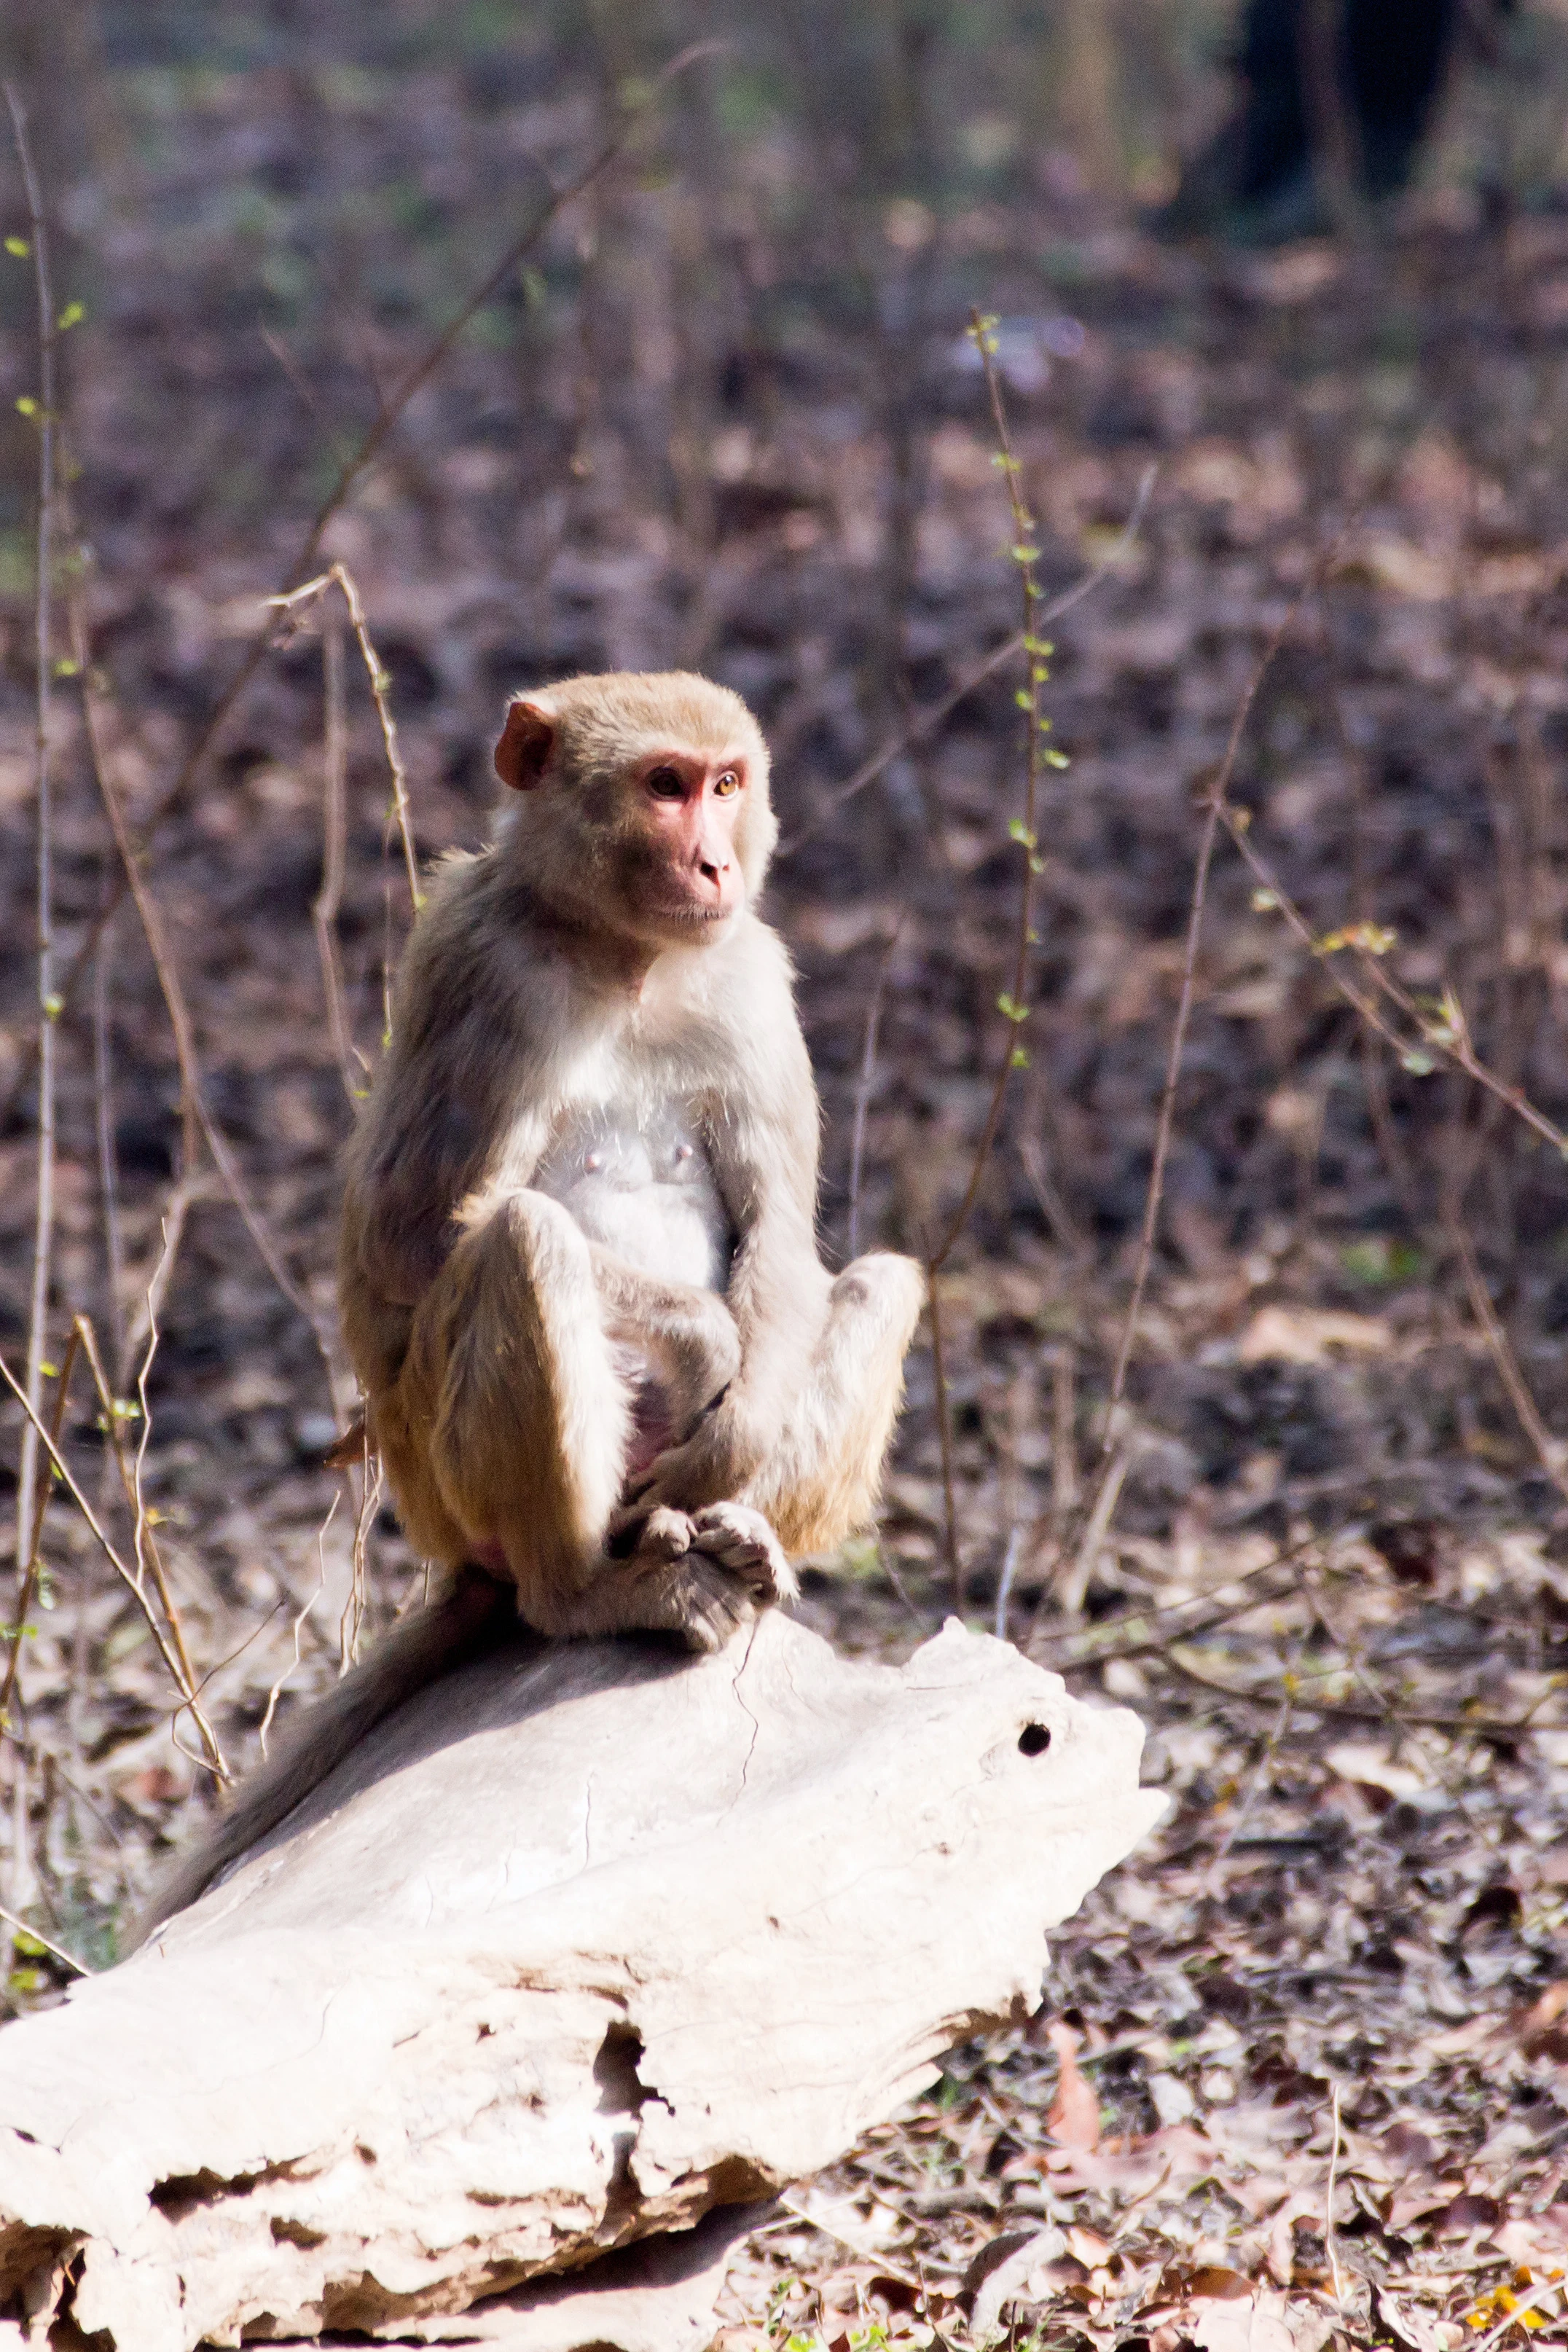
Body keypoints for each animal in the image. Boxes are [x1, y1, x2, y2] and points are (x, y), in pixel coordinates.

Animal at [132, 672, 922, 1942]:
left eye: (726, 783)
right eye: (665, 785)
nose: (715, 863)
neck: (627, 957)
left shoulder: (752, 972)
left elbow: (787, 1254)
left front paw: (737, 1432)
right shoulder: (479, 971)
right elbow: (425, 1242)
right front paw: (700, 1341)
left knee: (883, 1282)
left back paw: (734, 1534)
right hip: (444, 1483)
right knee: (525, 1246)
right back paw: (585, 1592)